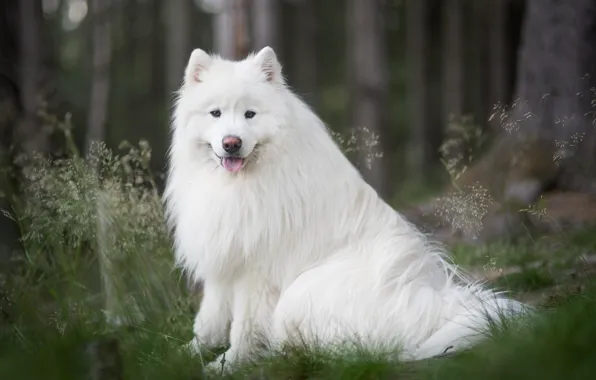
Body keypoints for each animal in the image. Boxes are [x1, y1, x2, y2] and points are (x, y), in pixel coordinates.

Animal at [163, 47, 528, 372]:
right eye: (216, 113)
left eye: (250, 114)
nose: (232, 143)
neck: (239, 184)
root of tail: (437, 308)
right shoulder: (223, 259)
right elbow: (208, 319)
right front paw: (184, 353)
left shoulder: (257, 274)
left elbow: (244, 329)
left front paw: (227, 364)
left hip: (301, 293)